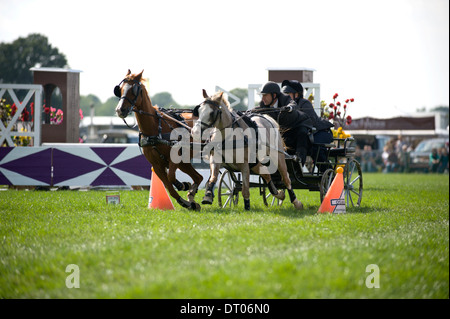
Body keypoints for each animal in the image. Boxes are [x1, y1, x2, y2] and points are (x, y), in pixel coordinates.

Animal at [114, 70, 202, 210]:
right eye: (120, 89)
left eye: (134, 89)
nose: (120, 110)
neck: (155, 129)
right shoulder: (156, 165)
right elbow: (169, 187)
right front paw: (186, 201)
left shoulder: (174, 158)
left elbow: (171, 177)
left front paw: (183, 185)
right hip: (184, 162)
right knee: (199, 177)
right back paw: (192, 197)